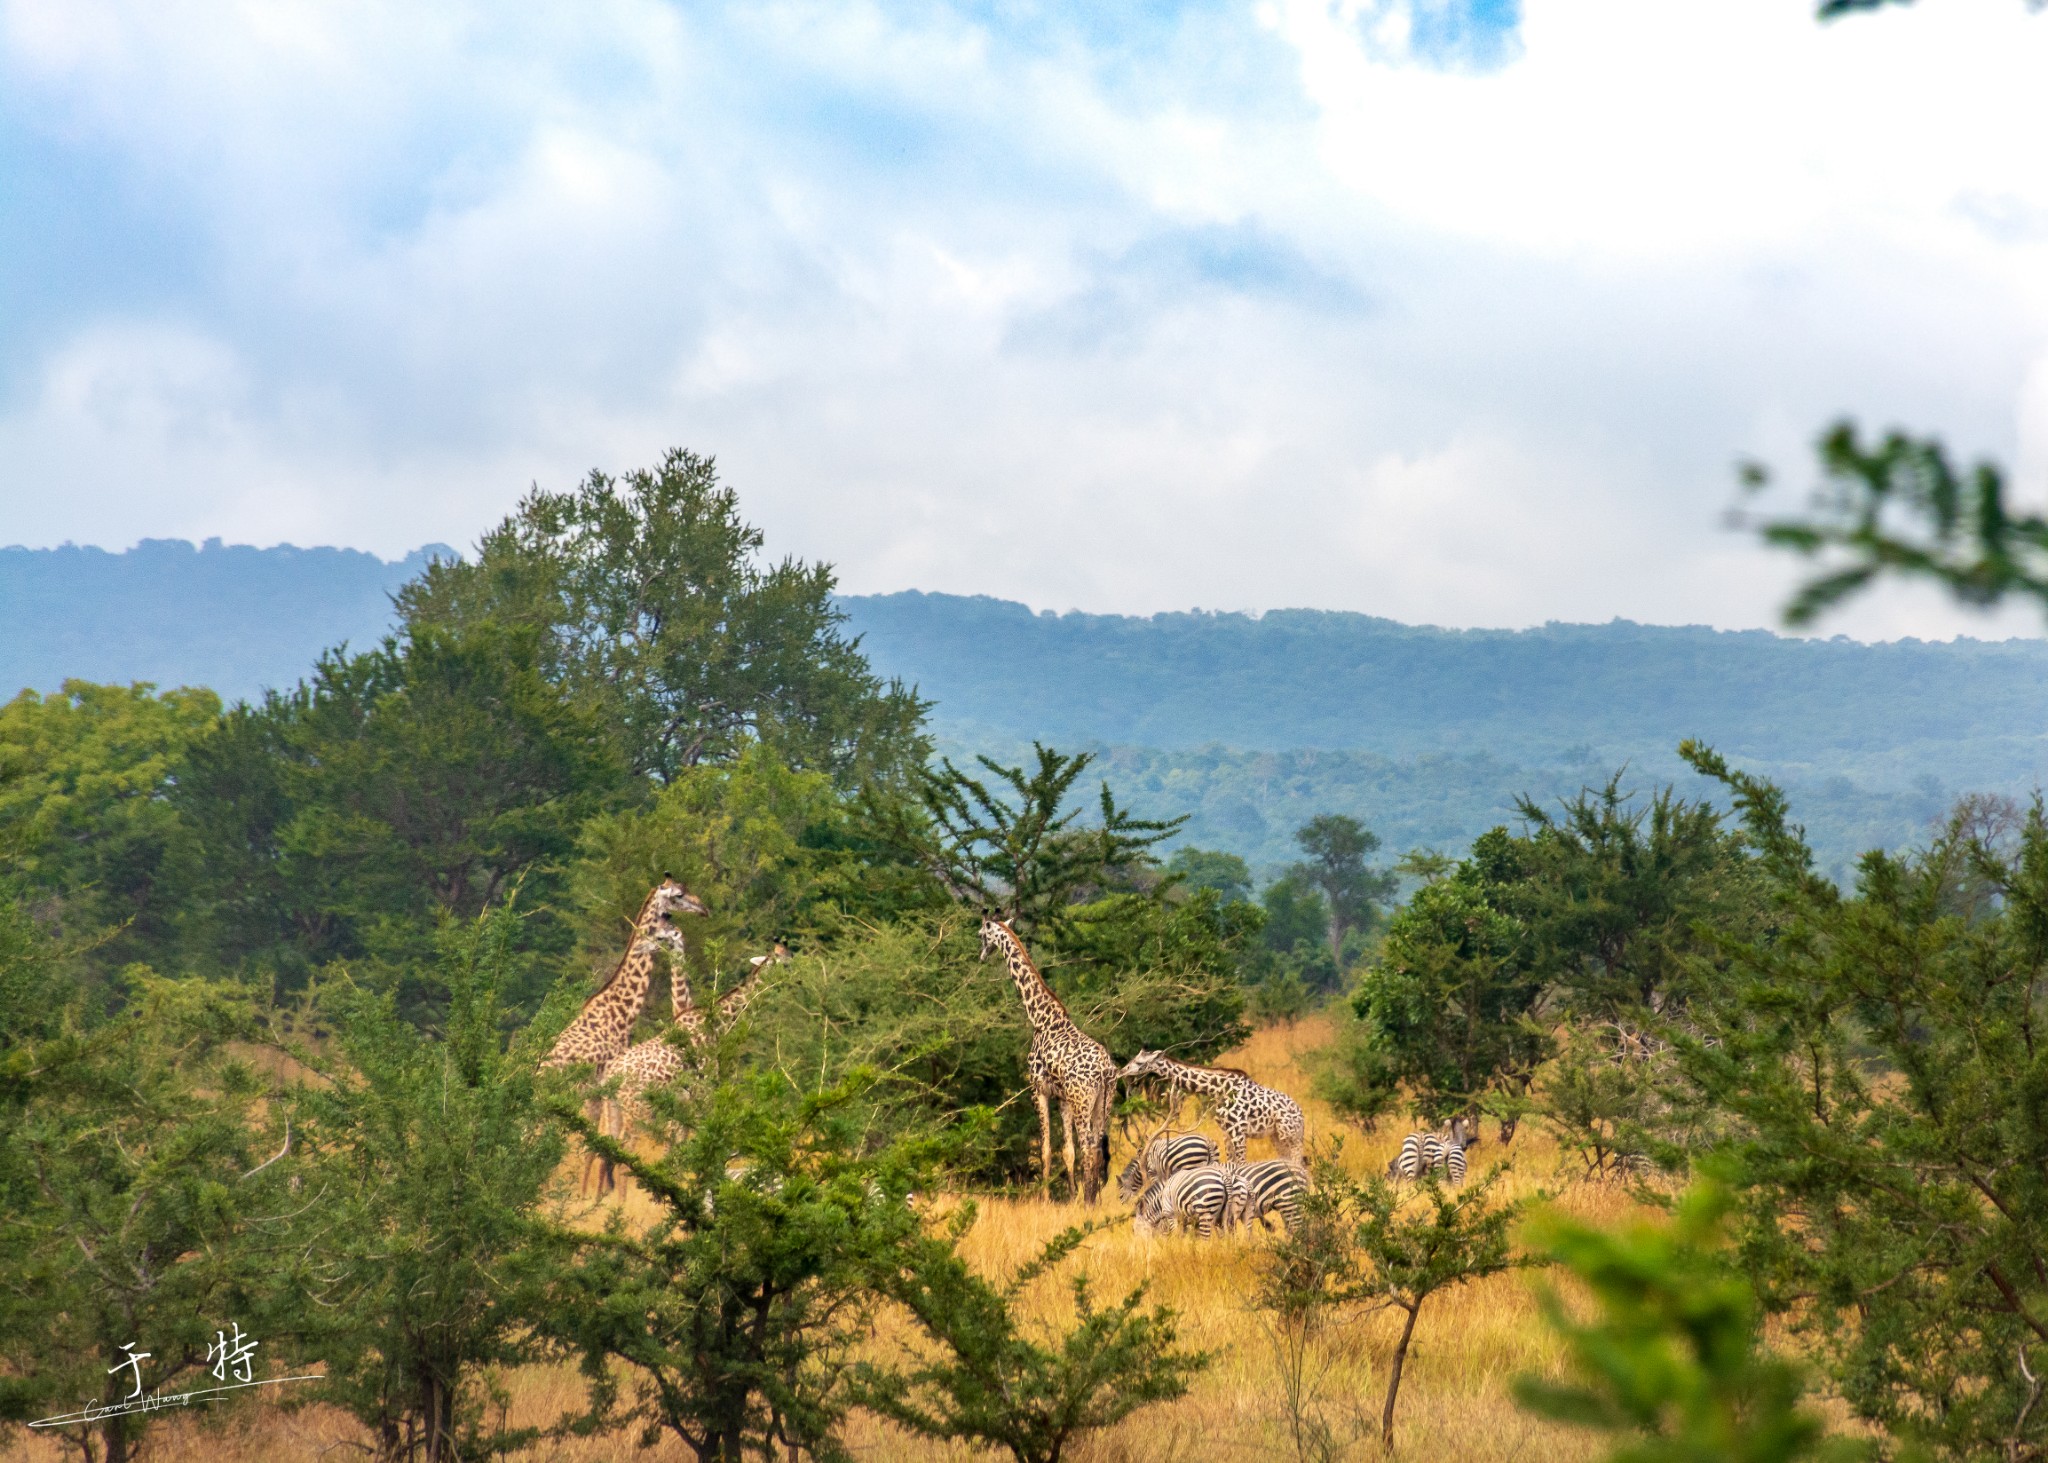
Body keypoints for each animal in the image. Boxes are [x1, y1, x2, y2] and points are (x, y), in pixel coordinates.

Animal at [544, 872, 712, 1188]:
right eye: (679, 895)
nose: (705, 909)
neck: (621, 1009)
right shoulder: (601, 1087)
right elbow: (598, 1145)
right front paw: (590, 1195)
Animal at [978, 917, 1122, 1204]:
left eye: (981, 935)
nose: (981, 955)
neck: (1041, 1018)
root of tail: (1105, 1070)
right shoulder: (1063, 1098)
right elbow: (1067, 1151)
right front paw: (1071, 1196)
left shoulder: (1039, 1090)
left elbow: (1044, 1149)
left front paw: (1044, 1199)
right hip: (1104, 1101)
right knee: (1096, 1145)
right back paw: (1093, 1200)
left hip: (1082, 1101)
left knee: (1089, 1144)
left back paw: (1089, 1202)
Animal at [1114, 1049, 1302, 1163]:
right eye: (1133, 1058)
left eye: (1139, 1063)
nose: (1121, 1071)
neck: (1220, 1090)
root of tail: (1301, 1114)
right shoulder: (1226, 1132)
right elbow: (1232, 1164)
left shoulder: (1238, 1132)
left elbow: (1242, 1165)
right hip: (1276, 1137)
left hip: (1290, 1136)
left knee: (1298, 1162)